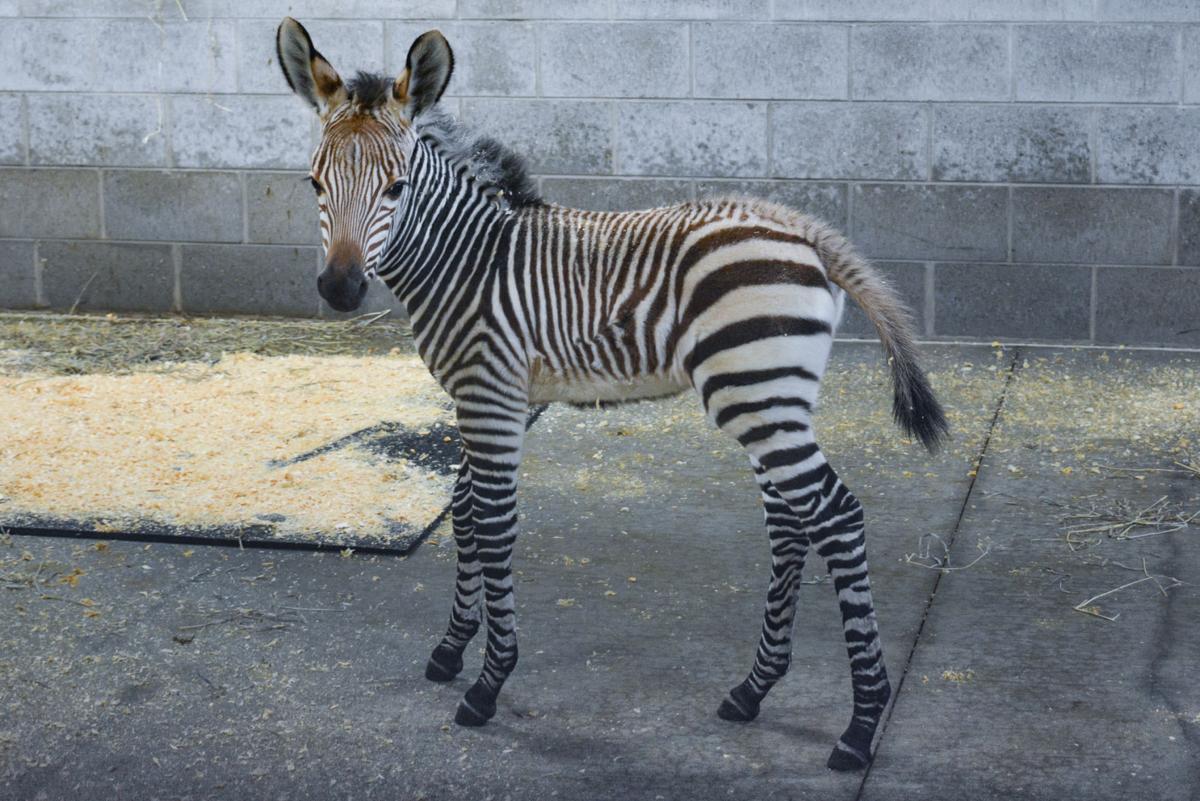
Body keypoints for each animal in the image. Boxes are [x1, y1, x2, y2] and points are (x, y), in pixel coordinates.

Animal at [278, 18, 945, 767]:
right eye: (313, 184)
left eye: (395, 188)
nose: (340, 290)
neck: (468, 261)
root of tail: (804, 230)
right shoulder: (488, 398)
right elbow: (466, 514)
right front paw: (451, 649)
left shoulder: (491, 395)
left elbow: (494, 523)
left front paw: (487, 683)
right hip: (772, 398)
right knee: (791, 522)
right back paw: (753, 689)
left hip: (755, 394)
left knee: (835, 515)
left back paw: (861, 724)